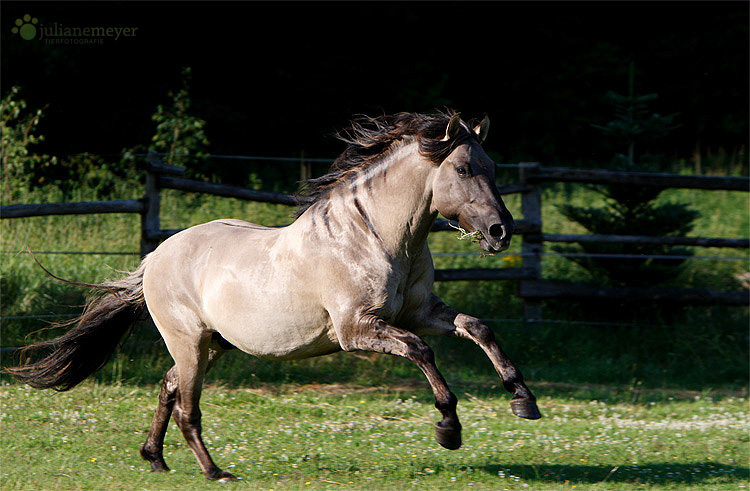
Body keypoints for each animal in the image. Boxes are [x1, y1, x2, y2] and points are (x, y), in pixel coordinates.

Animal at [4, 110, 540, 480]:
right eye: (465, 170)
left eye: (493, 167)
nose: (501, 231)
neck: (376, 237)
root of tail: (155, 257)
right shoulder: (356, 329)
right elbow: (422, 351)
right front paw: (449, 429)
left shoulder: (420, 311)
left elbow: (477, 327)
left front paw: (523, 401)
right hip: (190, 342)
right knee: (188, 406)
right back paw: (214, 472)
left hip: (212, 345)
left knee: (169, 386)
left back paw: (155, 460)